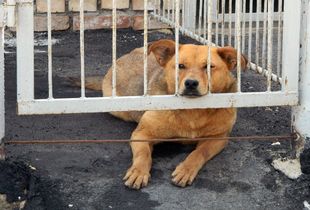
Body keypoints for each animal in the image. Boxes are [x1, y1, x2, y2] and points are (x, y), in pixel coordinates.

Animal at [81, 39, 247, 189]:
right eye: (180, 66)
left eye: (208, 67)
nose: (191, 83)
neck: (193, 111)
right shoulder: (141, 134)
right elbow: (143, 154)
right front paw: (139, 171)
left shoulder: (219, 138)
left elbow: (199, 153)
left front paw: (186, 169)